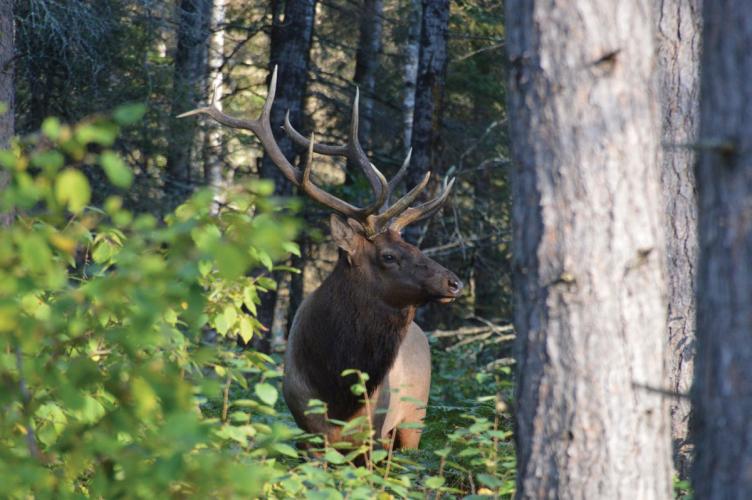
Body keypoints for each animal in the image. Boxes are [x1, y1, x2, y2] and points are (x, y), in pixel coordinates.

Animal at [179, 67, 463, 451]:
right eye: (389, 255)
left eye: (415, 247)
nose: (454, 282)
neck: (336, 388)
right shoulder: (307, 430)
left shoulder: (372, 432)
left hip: (412, 422)